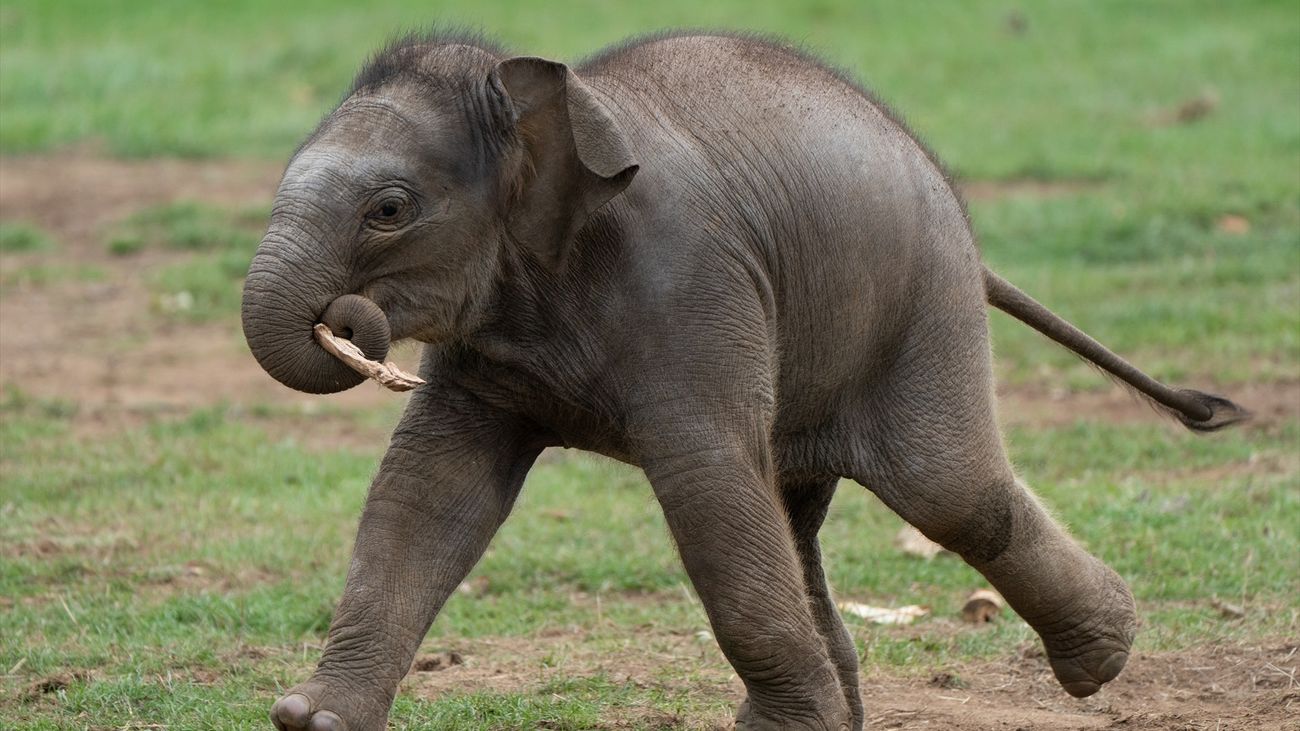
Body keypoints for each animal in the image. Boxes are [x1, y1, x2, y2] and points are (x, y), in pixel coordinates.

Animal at [241, 30, 1248, 731]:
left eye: (388, 209)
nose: (349, 321)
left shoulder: (691, 286)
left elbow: (708, 485)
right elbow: (430, 488)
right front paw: (314, 718)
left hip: (920, 310)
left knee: (948, 489)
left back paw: (1100, 659)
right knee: (797, 512)